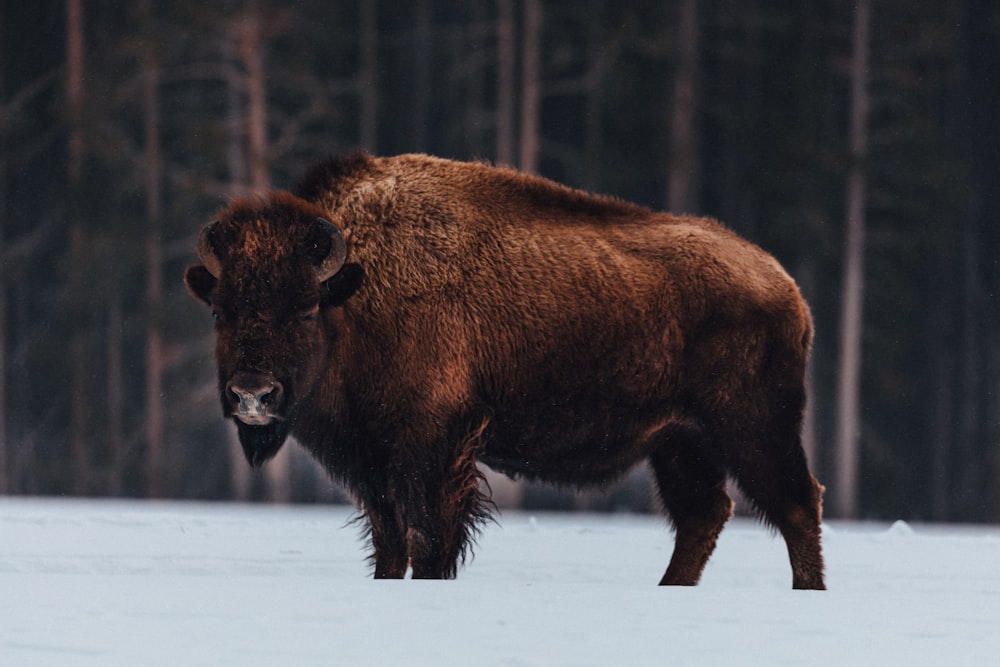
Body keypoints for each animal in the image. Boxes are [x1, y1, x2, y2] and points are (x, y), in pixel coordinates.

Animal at [184, 153, 824, 588]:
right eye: (220, 310)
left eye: (304, 307)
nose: (252, 394)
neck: (355, 295)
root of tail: (785, 286)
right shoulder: (372, 464)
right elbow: (390, 544)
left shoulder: (433, 449)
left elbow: (428, 541)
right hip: (679, 441)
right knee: (704, 514)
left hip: (752, 427)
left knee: (796, 503)